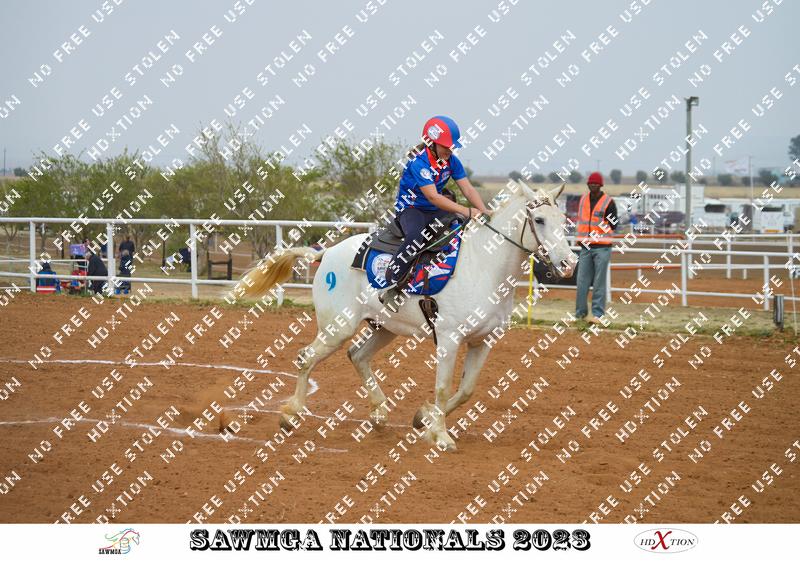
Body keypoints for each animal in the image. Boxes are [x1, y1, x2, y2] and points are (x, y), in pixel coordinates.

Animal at [233, 179, 577, 451]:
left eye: (564, 220)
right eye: (539, 219)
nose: (569, 263)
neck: (484, 265)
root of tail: (327, 252)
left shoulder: (483, 340)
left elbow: (466, 390)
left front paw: (424, 419)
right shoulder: (449, 339)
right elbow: (443, 387)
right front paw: (441, 437)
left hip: (384, 327)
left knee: (357, 355)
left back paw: (379, 413)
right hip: (338, 326)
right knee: (307, 357)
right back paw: (290, 415)